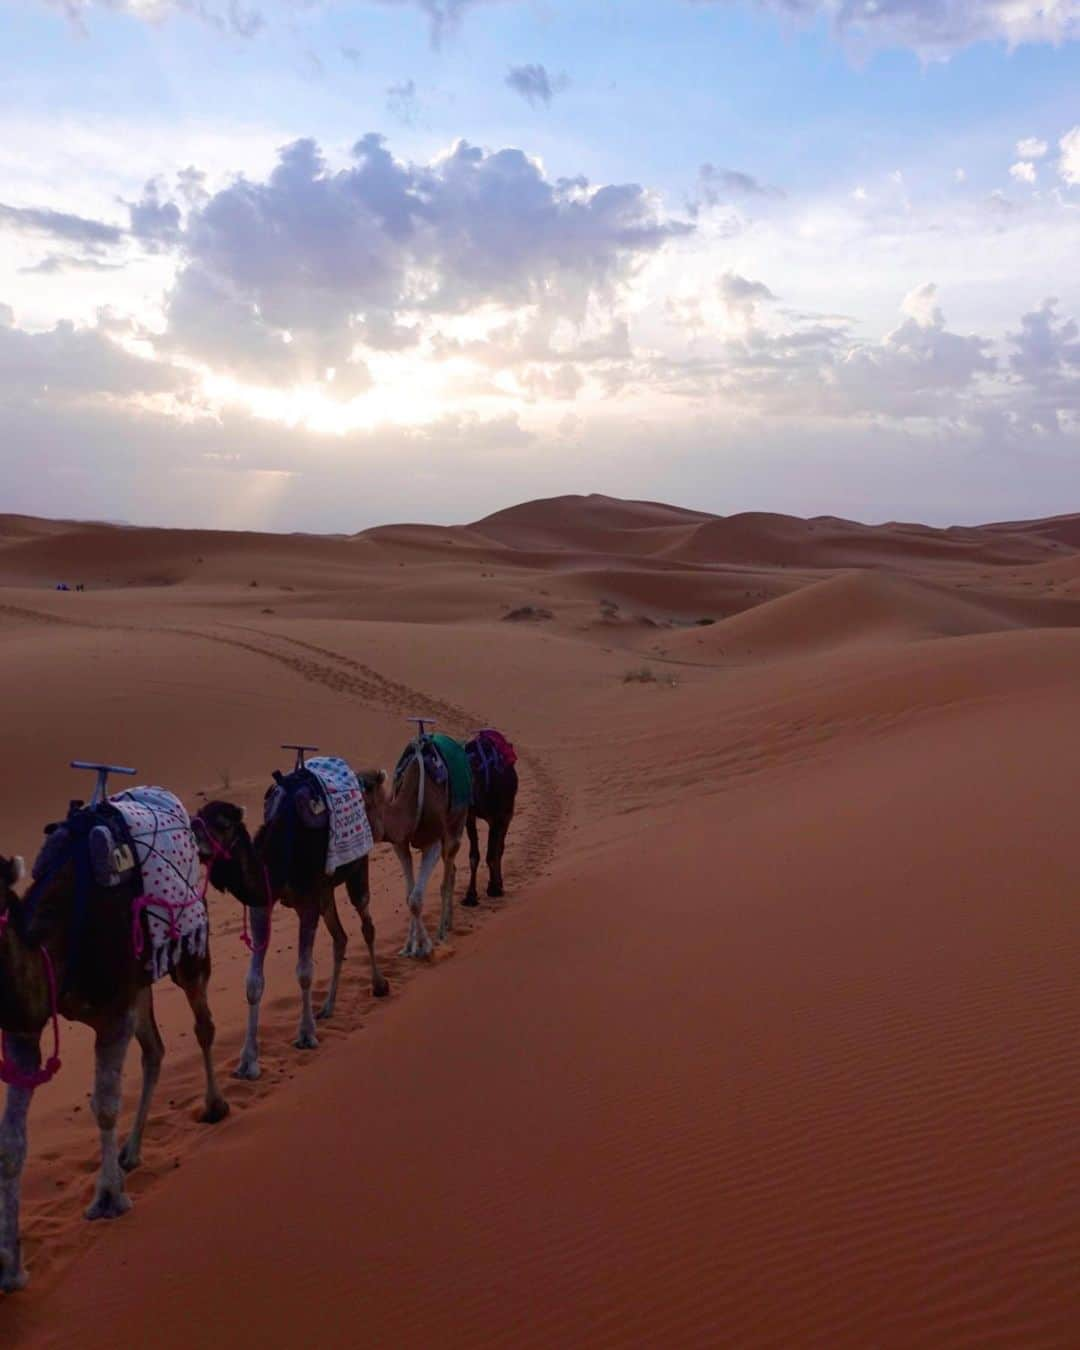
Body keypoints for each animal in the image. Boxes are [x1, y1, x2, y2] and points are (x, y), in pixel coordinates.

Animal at [0, 793, 225, 1290]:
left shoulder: (113, 1011)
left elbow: (104, 1104)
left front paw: (107, 1200)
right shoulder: (24, 1032)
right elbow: (11, 1144)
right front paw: (10, 1264)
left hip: (189, 950)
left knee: (203, 1025)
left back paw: (215, 1106)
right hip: (142, 979)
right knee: (155, 1049)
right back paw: (131, 1152)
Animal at [194, 761, 388, 1085]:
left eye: (223, 824)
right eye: (194, 825)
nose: (201, 850)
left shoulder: (307, 902)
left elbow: (304, 971)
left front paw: (306, 1035)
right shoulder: (262, 905)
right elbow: (253, 983)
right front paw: (247, 1062)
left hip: (357, 867)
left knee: (367, 924)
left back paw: (379, 985)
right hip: (326, 890)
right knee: (340, 937)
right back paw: (328, 1007)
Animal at [361, 729, 469, 961]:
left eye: (366, 803)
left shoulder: (432, 842)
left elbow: (416, 899)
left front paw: (426, 946)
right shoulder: (400, 844)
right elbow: (409, 896)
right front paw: (409, 946)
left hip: (456, 824)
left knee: (447, 872)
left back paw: (442, 933)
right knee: (452, 870)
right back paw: (449, 923)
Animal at [459, 729, 518, 907]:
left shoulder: (498, 815)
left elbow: (492, 854)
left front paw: (494, 888)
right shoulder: (469, 817)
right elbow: (474, 856)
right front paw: (470, 896)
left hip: (507, 812)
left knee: (499, 847)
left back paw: (498, 883)